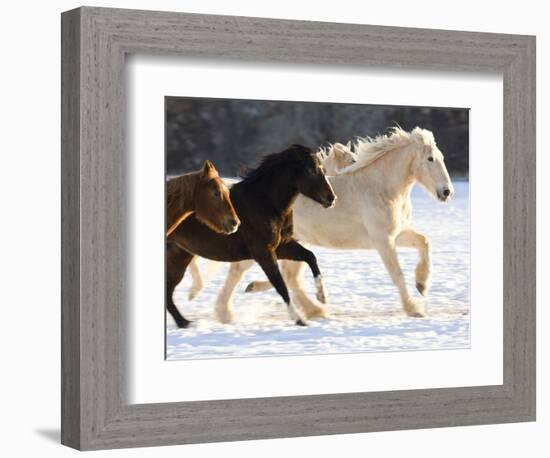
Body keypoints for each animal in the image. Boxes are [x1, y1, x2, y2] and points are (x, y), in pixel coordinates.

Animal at [166, 145, 336, 328]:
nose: (331, 198)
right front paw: (298, 318)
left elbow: (310, 256)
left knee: (168, 292)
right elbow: (280, 284)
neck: (266, 203)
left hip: (180, 258)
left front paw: (322, 296)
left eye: (323, 169)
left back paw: (184, 322)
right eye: (311, 170)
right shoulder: (263, 252)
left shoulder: (281, 246)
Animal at [202, 127, 452, 324]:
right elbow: (397, 274)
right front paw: (414, 309)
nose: (446, 192)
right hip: (264, 245)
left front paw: (422, 285)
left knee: (290, 277)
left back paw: (314, 309)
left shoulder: (396, 234)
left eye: (441, 157)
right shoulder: (383, 240)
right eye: (430, 159)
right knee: (240, 271)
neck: (380, 188)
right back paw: (226, 313)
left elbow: (424, 242)